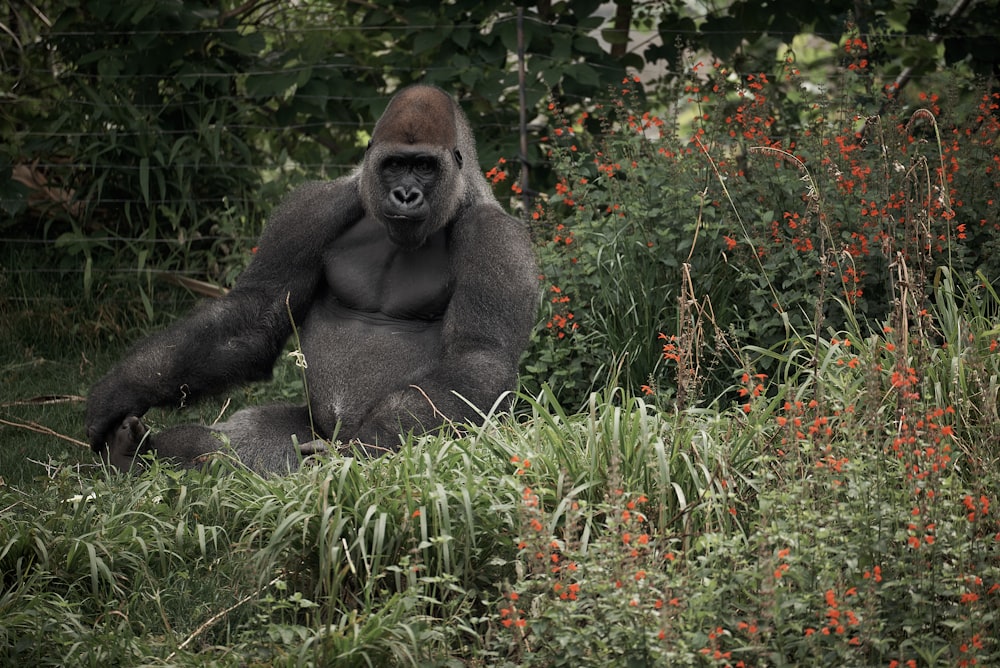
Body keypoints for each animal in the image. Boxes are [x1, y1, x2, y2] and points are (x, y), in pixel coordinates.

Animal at [86, 86, 540, 474]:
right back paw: (137, 453)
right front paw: (125, 388)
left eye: (425, 167)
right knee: (236, 442)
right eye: (395, 164)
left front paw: (366, 447)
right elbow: (254, 314)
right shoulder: (311, 209)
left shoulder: (499, 241)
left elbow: (477, 357)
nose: (406, 195)